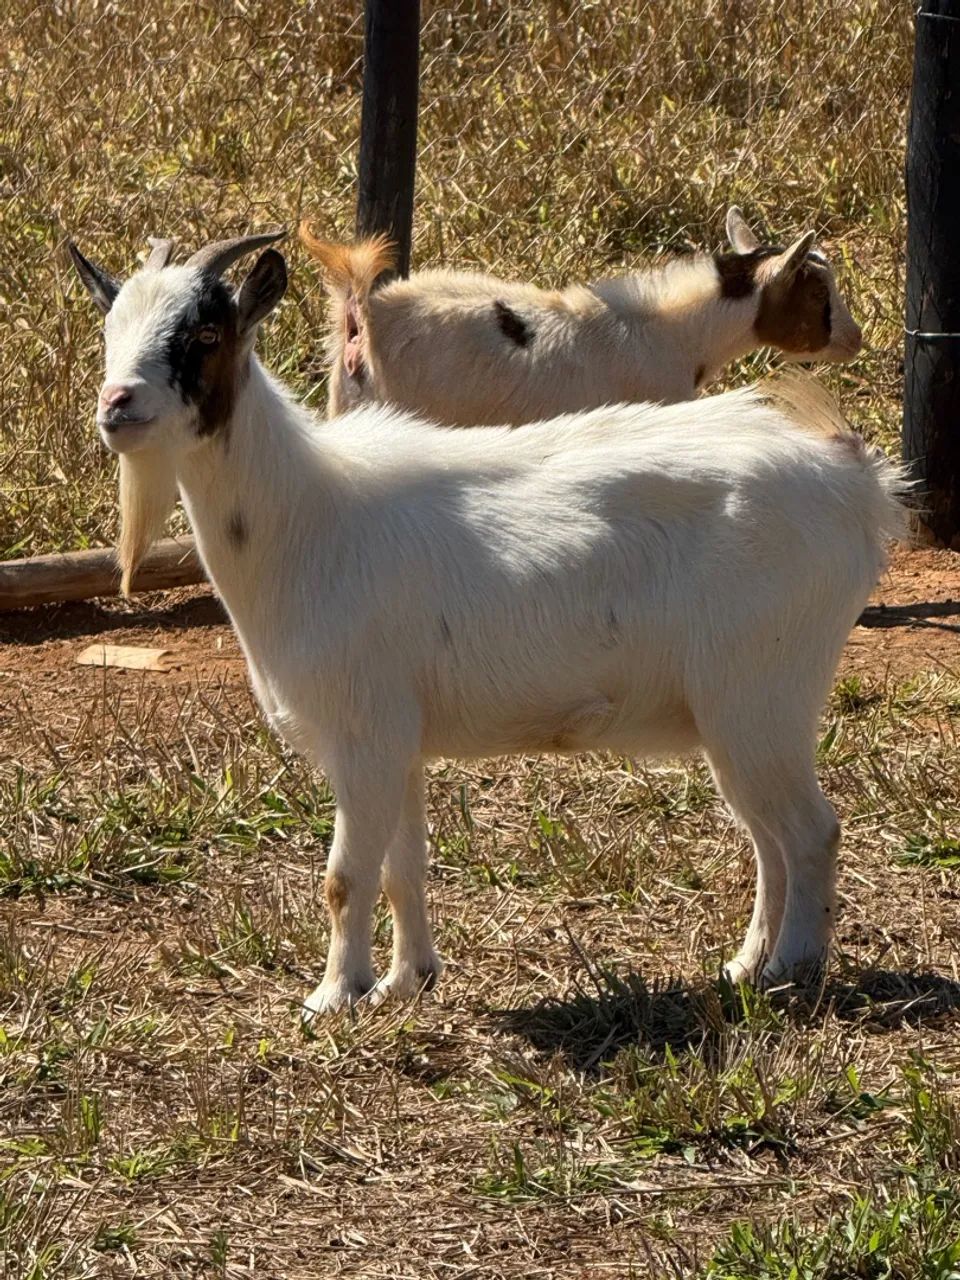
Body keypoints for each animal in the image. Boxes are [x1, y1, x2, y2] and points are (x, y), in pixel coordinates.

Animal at [70, 232, 903, 1017]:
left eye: (205, 333)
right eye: (110, 328)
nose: (117, 405)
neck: (306, 517)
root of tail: (857, 480)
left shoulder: (362, 734)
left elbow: (345, 877)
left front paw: (331, 998)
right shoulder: (400, 740)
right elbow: (402, 868)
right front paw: (405, 981)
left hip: (761, 697)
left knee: (809, 831)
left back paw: (794, 969)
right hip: (739, 716)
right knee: (769, 840)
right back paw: (744, 967)